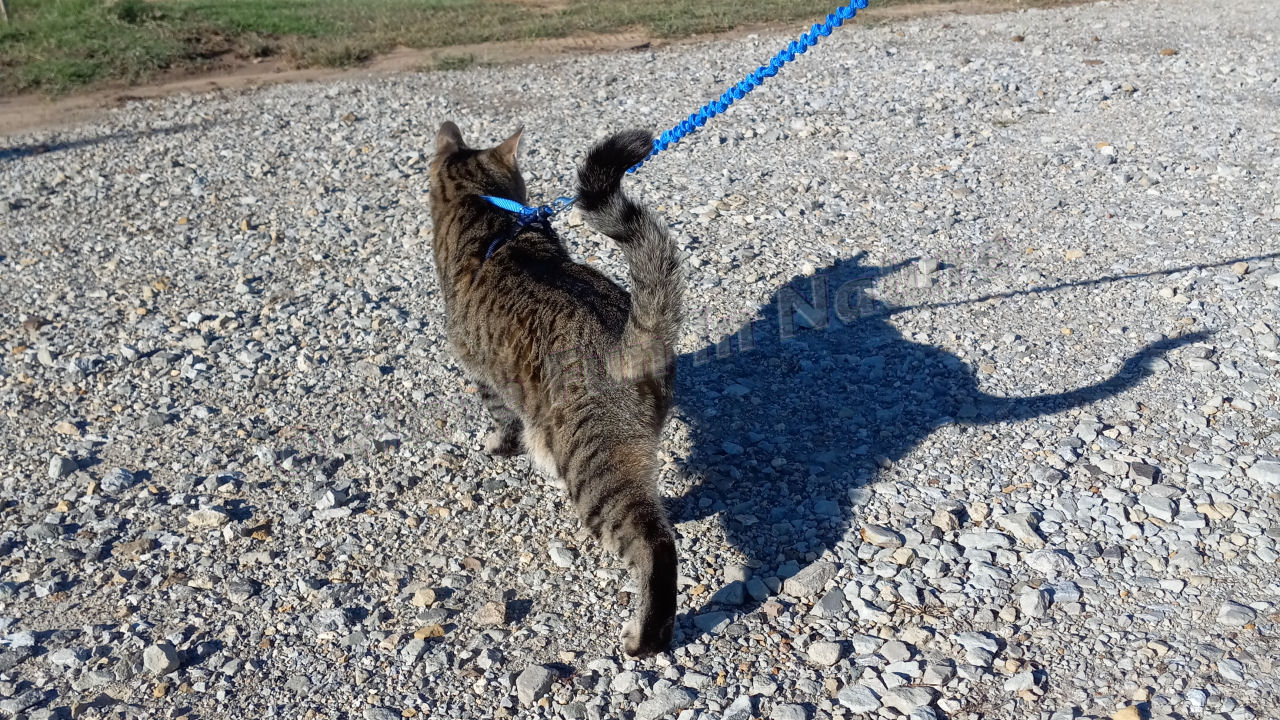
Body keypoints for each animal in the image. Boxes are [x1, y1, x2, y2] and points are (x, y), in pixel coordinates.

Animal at [430, 122, 686, 655]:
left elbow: (503, 419)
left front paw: (501, 445)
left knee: (654, 543)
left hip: (596, 470)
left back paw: (645, 638)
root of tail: (626, 336)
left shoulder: (484, 376)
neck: (486, 212)